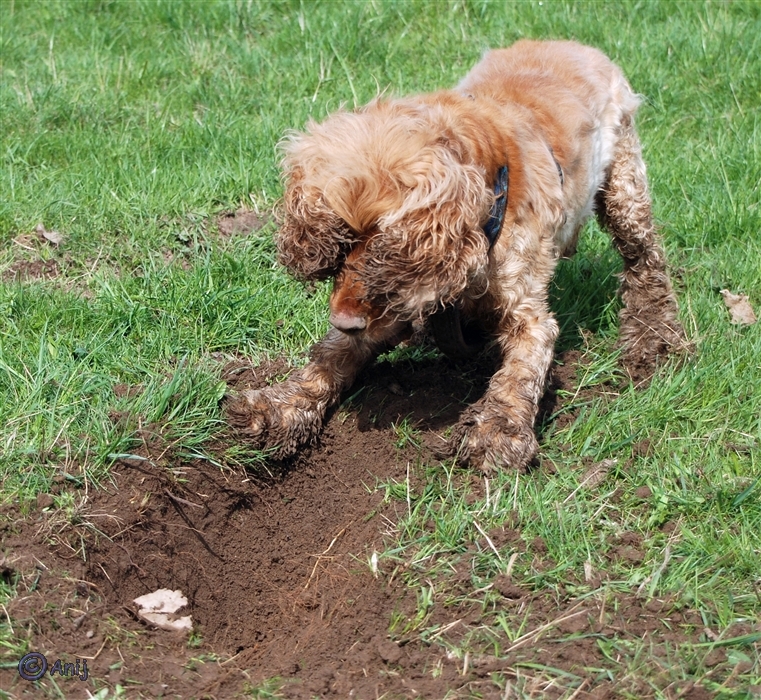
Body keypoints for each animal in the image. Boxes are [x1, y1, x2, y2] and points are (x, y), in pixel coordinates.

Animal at [226, 41, 684, 474]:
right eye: (340, 240)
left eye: (386, 244)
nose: (344, 320)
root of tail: (573, 44)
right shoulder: (394, 307)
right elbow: (332, 354)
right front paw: (279, 406)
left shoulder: (526, 312)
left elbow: (522, 369)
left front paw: (497, 431)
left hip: (624, 185)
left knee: (645, 260)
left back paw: (653, 341)